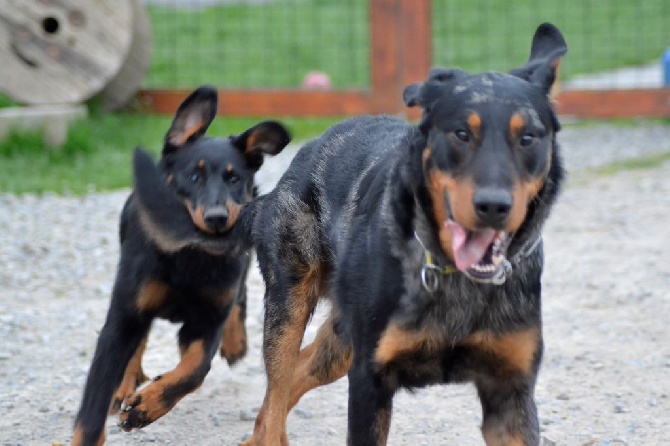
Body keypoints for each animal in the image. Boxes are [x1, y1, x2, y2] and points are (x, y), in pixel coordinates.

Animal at [73, 87, 292, 446]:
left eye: (234, 178)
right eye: (193, 176)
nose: (217, 218)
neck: (192, 255)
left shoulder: (206, 320)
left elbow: (192, 371)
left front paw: (144, 407)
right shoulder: (124, 314)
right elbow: (95, 400)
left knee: (239, 295)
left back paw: (235, 341)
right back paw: (126, 383)